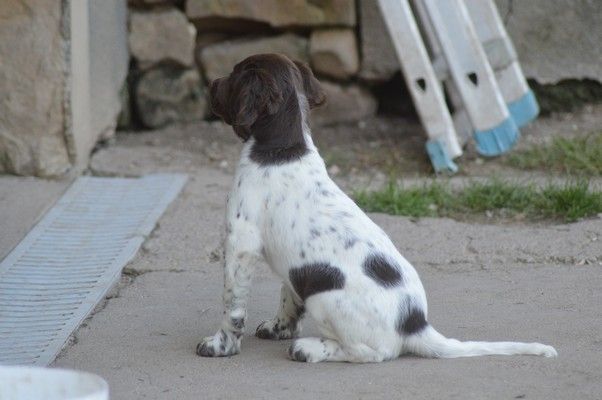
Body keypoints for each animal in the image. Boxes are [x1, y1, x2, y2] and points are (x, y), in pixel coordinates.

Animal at [195, 54, 556, 362]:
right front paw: (278, 328)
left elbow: (232, 305)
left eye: (234, 75)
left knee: (370, 352)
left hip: (326, 297)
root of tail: (415, 326)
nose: (210, 84)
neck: (282, 147)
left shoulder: (240, 243)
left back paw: (309, 348)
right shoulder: (294, 268)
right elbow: (288, 295)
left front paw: (220, 345)